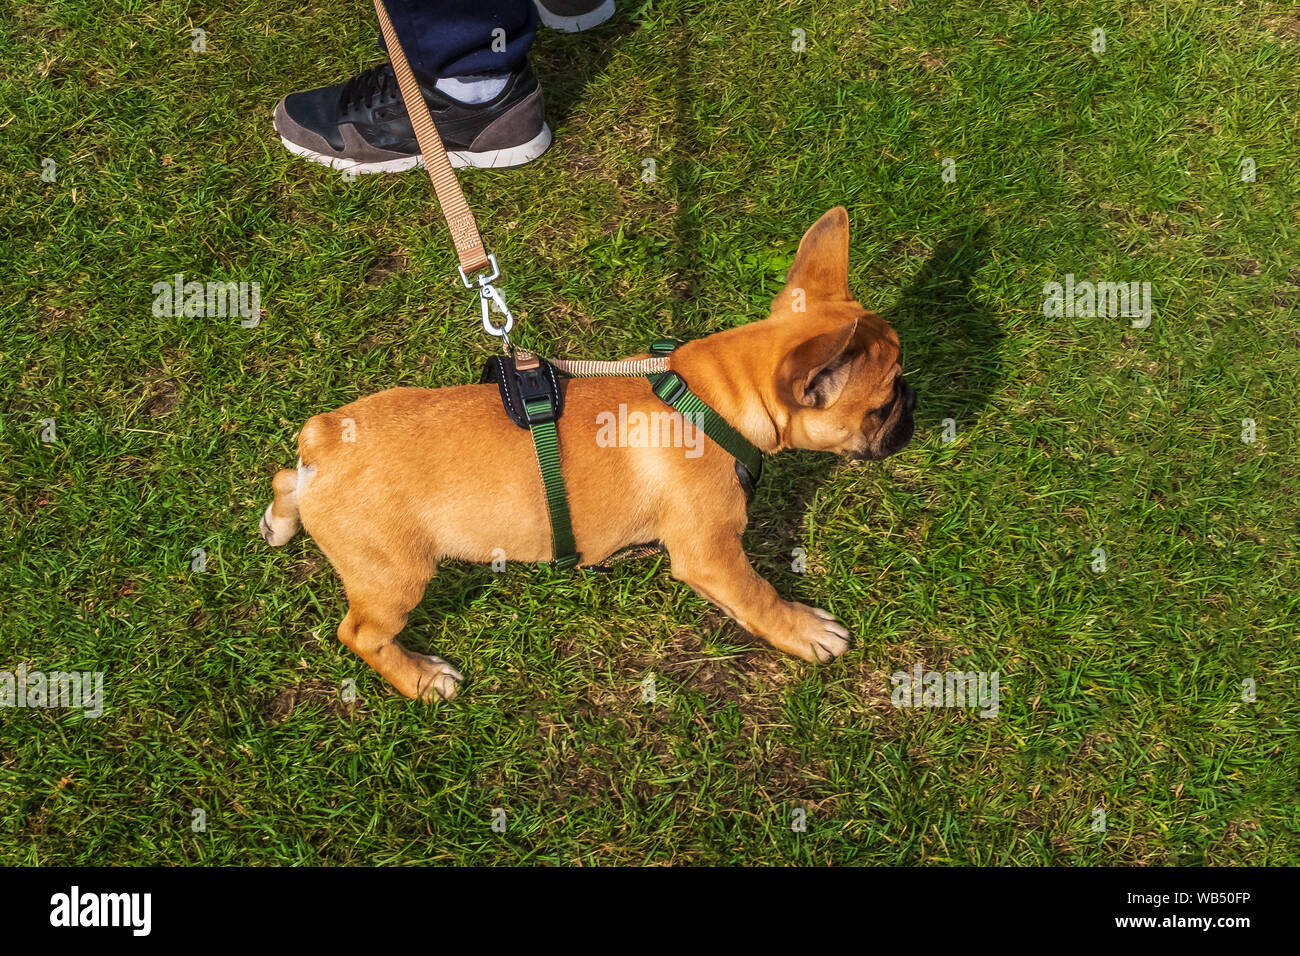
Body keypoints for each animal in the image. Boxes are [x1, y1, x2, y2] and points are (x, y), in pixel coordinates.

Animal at [261, 208, 915, 702]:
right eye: (881, 405)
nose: (912, 404)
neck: (716, 398)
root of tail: (325, 440)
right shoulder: (711, 554)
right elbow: (758, 595)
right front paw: (803, 631)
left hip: (329, 504)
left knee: (284, 480)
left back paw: (279, 520)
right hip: (394, 574)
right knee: (360, 633)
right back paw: (420, 678)